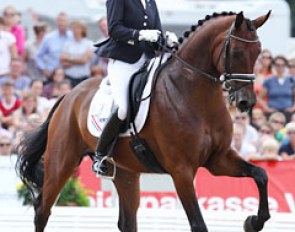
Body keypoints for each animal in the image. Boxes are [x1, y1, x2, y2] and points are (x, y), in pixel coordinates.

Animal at [16, 11, 270, 232]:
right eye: (236, 52)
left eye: (258, 51)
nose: (246, 102)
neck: (192, 93)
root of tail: (68, 95)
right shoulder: (182, 170)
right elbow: (198, 224)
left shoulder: (218, 159)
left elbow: (260, 174)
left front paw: (253, 221)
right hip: (61, 162)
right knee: (42, 210)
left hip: (125, 173)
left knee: (127, 222)